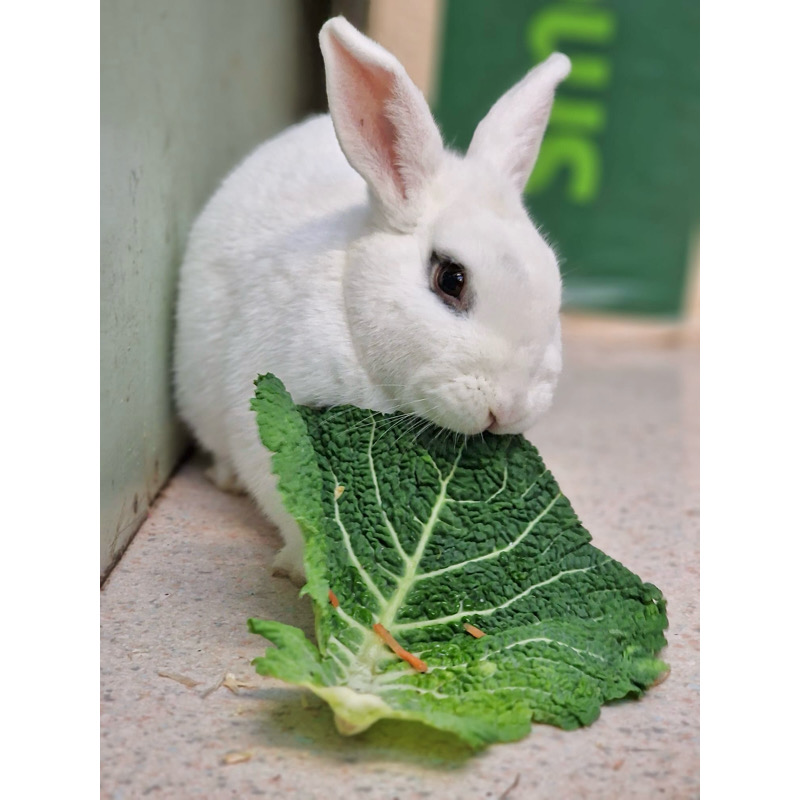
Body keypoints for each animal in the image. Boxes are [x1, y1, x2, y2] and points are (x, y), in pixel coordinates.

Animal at [177, 17, 576, 580]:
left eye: (554, 281)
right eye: (450, 278)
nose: (510, 408)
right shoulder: (265, 412)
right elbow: (291, 501)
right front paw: (304, 569)